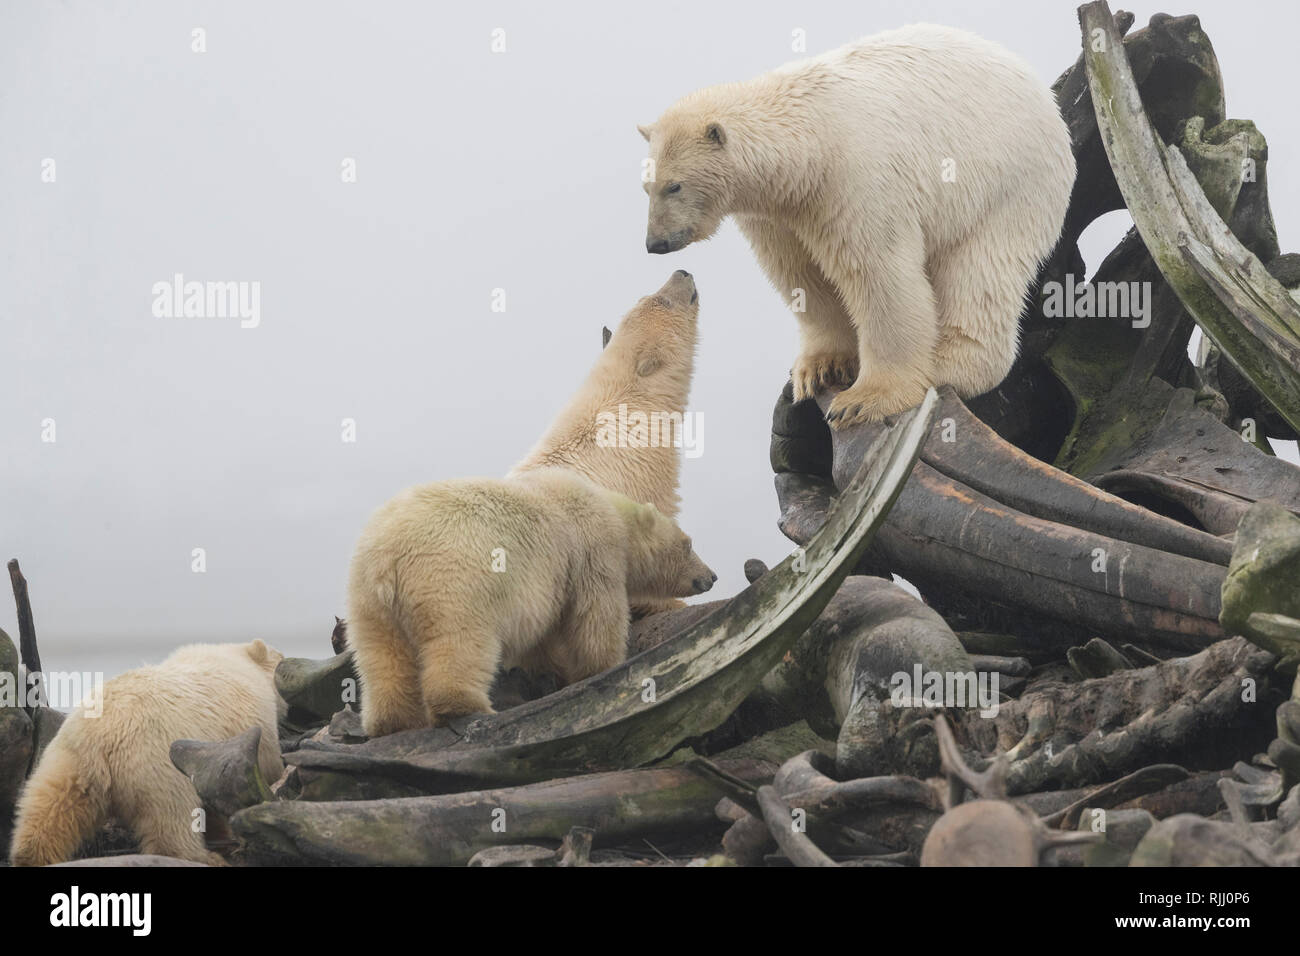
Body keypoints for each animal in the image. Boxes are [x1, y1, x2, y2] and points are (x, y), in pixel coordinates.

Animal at [9, 642, 284, 868]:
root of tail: (101, 739)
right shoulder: (248, 715)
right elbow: (259, 762)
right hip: (158, 764)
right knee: (173, 819)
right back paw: (203, 856)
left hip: (67, 757)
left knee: (49, 805)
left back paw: (30, 854)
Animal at [348, 468, 712, 738]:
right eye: (688, 544)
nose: (711, 576)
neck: (610, 509)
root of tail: (387, 558)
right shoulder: (591, 550)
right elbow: (595, 617)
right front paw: (600, 668)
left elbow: (542, 635)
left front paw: (550, 672)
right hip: (453, 581)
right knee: (461, 641)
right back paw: (463, 706)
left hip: (368, 601)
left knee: (382, 657)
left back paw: (394, 722)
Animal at [639, 23, 1076, 426]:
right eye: (646, 187)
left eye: (674, 185)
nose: (655, 244)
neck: (810, 142)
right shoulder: (779, 213)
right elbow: (799, 273)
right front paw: (821, 368)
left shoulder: (856, 181)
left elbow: (877, 272)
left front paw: (864, 399)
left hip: (1007, 185)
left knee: (981, 271)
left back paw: (947, 364)